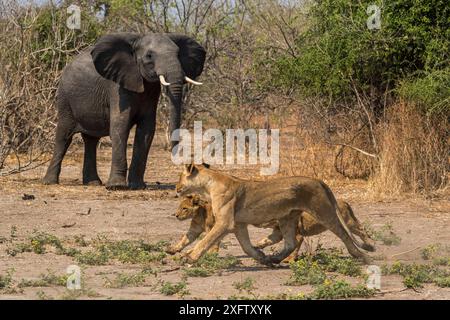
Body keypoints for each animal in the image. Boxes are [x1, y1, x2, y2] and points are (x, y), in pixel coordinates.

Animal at [43, 31, 205, 190]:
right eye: (149, 56)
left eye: (178, 54)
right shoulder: (117, 87)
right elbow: (120, 124)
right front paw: (117, 186)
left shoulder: (151, 91)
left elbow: (146, 130)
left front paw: (137, 186)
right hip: (65, 100)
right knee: (64, 137)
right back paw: (50, 182)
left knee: (91, 140)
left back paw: (93, 183)